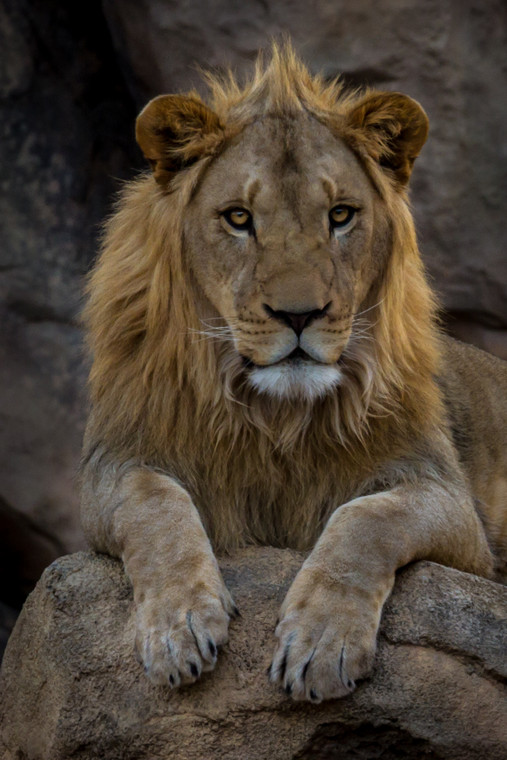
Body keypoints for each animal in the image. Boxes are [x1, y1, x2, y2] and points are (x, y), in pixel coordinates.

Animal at [80, 44, 507, 703]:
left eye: (340, 215)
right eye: (238, 218)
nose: (301, 314)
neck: (274, 415)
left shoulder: (448, 498)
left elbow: (367, 518)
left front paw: (321, 642)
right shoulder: (115, 461)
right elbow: (153, 502)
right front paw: (178, 628)